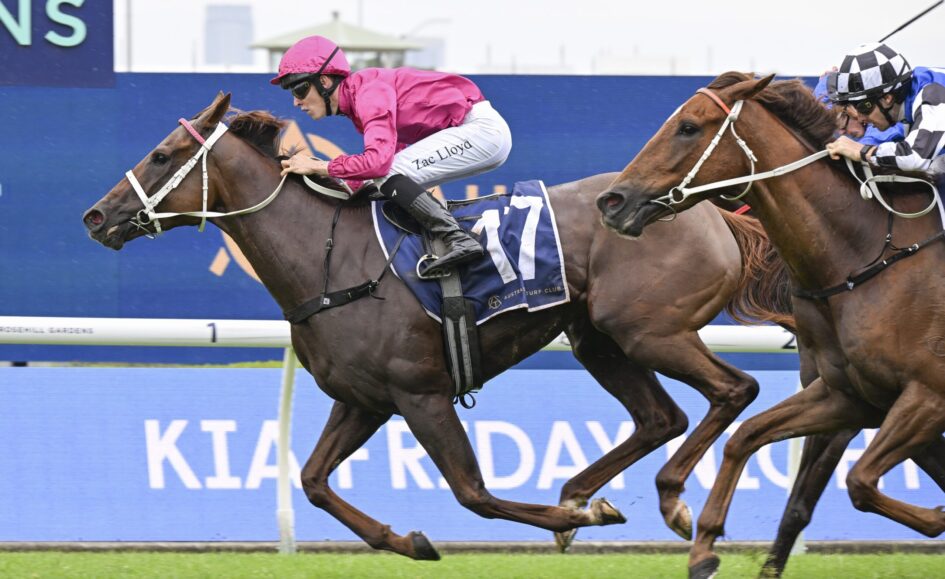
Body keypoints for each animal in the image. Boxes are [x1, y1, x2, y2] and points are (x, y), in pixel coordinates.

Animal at [82, 92, 791, 559]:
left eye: (161, 155)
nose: (95, 216)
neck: (328, 259)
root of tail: (707, 210)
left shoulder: (420, 392)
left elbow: (473, 493)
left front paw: (572, 518)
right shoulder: (365, 398)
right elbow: (311, 481)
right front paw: (406, 539)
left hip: (651, 329)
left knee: (733, 391)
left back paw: (665, 500)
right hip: (599, 338)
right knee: (659, 418)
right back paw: (582, 494)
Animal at [597, 72, 945, 578]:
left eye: (688, 127)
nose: (612, 200)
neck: (870, 256)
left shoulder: (926, 395)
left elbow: (859, 481)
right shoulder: (851, 396)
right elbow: (748, 438)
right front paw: (703, 548)